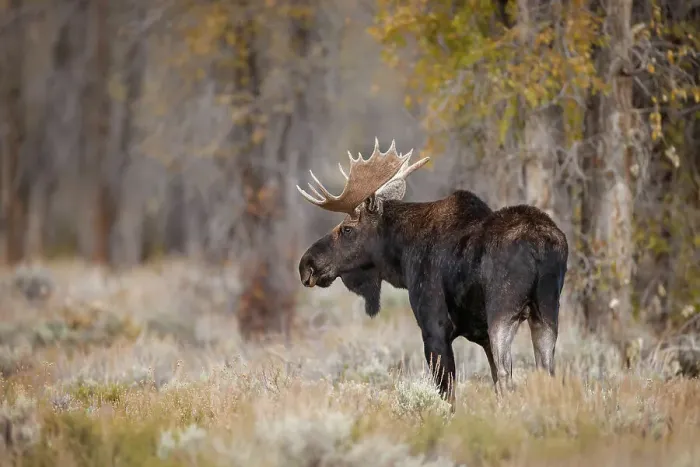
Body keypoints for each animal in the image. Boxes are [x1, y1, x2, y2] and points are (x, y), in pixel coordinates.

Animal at [296, 138, 568, 409]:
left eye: (347, 229)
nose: (306, 264)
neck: (402, 256)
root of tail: (540, 246)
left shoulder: (434, 328)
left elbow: (449, 396)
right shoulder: (481, 336)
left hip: (503, 313)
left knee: (507, 377)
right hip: (546, 313)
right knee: (546, 373)